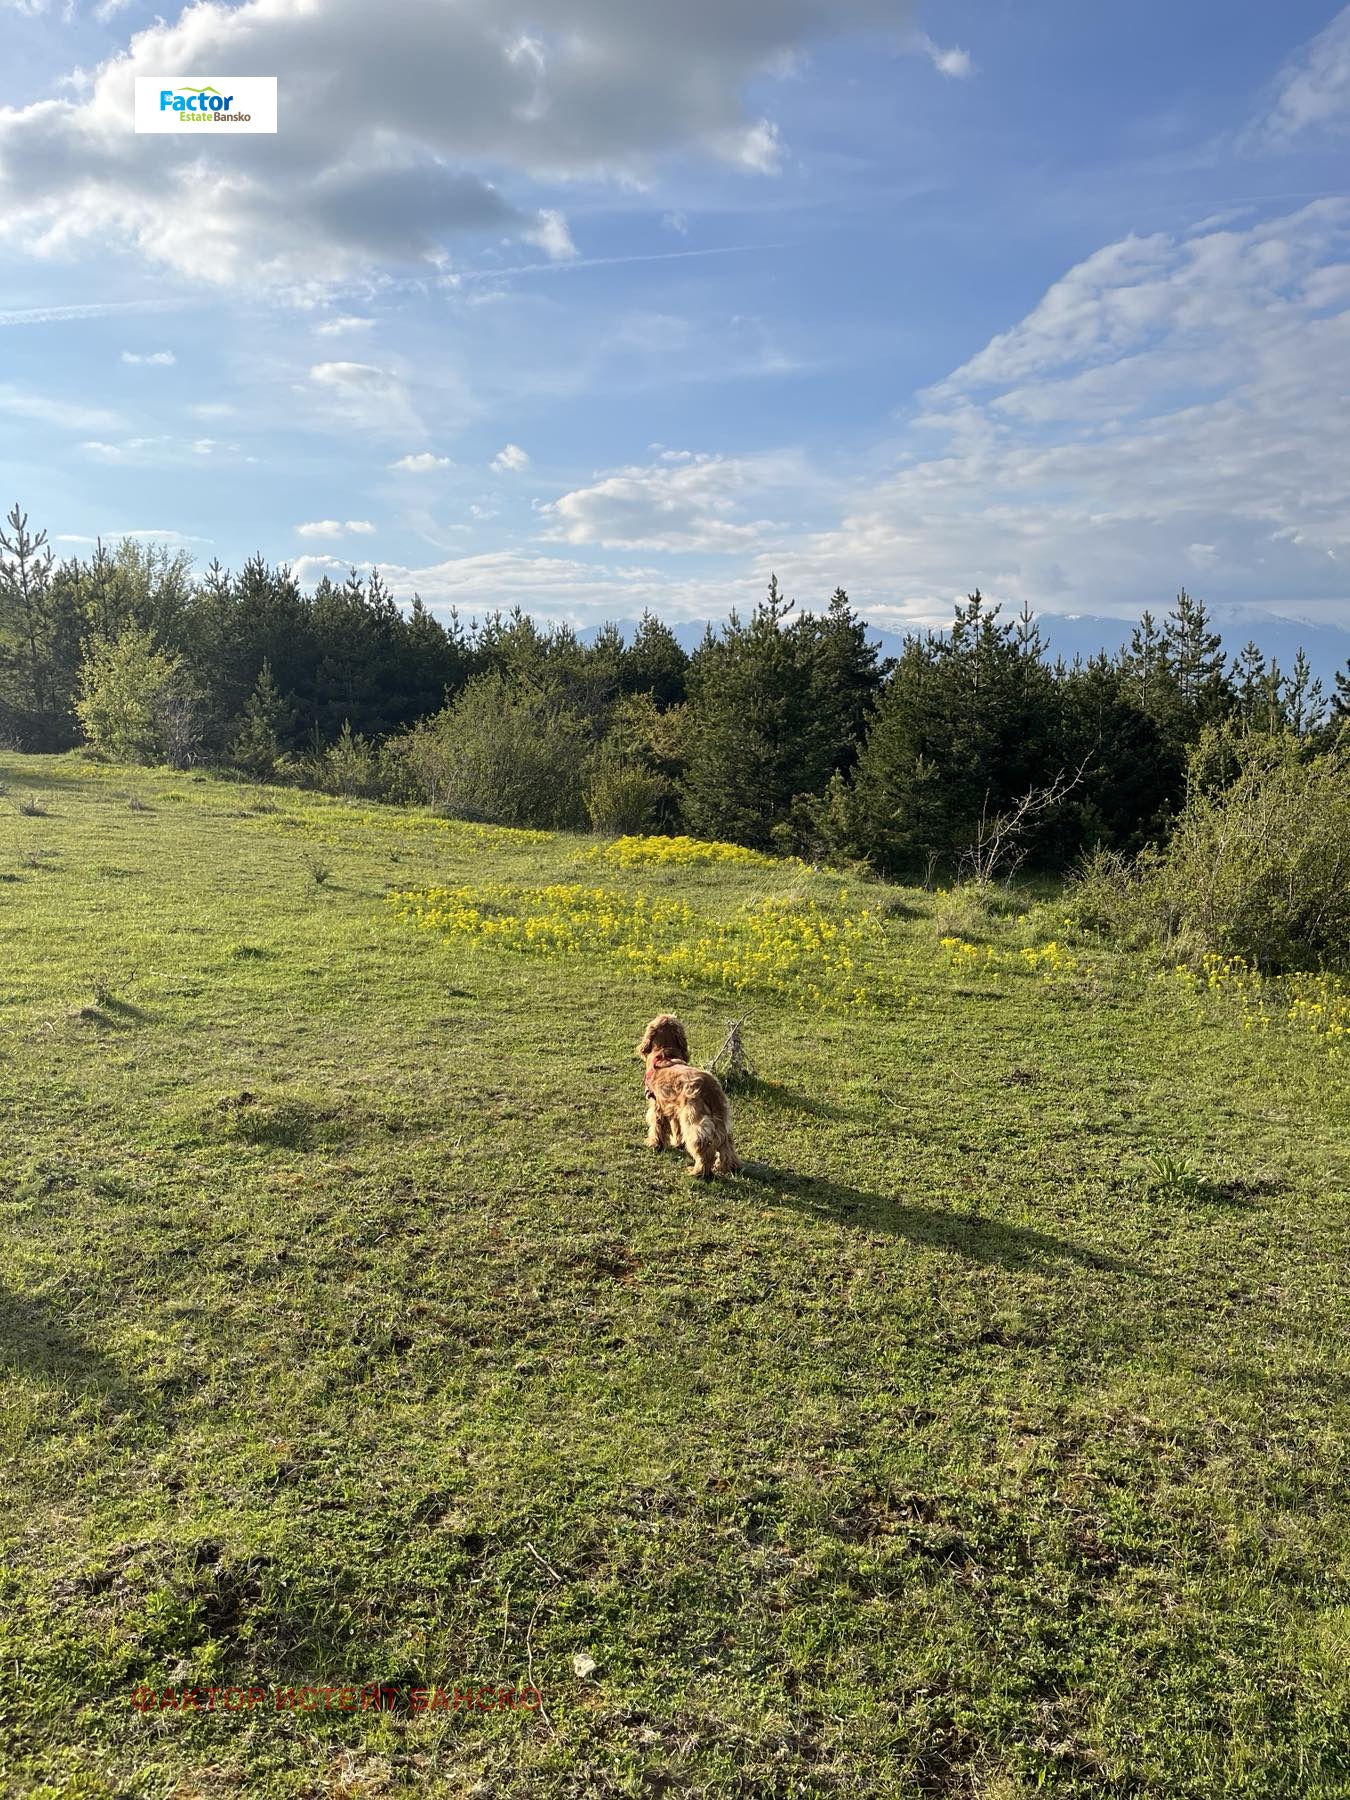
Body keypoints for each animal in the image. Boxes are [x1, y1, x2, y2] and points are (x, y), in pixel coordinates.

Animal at [635, 1013, 740, 1180]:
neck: (665, 1053)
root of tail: (711, 1088)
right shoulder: (675, 1111)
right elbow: (676, 1129)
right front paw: (677, 1143)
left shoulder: (657, 1106)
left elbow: (656, 1127)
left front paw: (655, 1144)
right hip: (721, 1121)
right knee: (726, 1145)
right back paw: (729, 1167)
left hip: (694, 1121)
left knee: (704, 1149)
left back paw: (698, 1171)